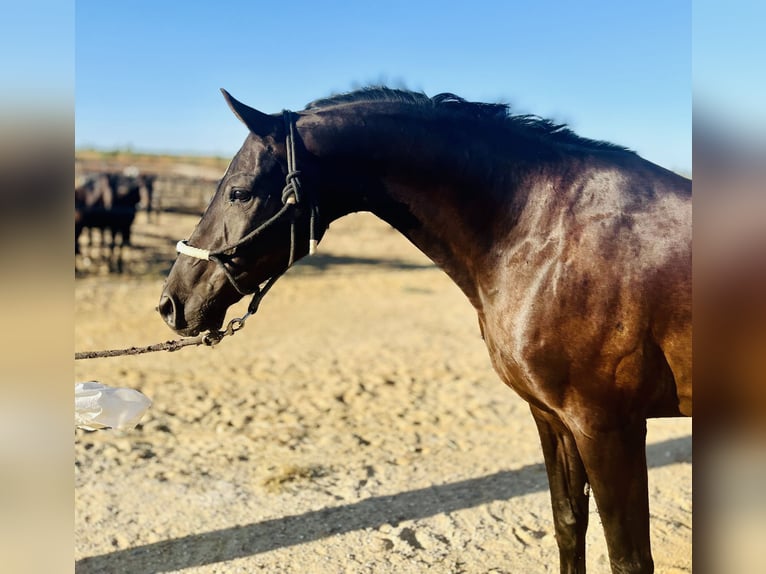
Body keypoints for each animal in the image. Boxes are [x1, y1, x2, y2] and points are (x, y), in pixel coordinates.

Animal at [159, 86, 692, 574]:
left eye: (239, 192)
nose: (172, 303)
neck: (545, 234)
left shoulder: (606, 428)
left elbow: (628, 559)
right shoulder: (553, 419)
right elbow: (568, 527)